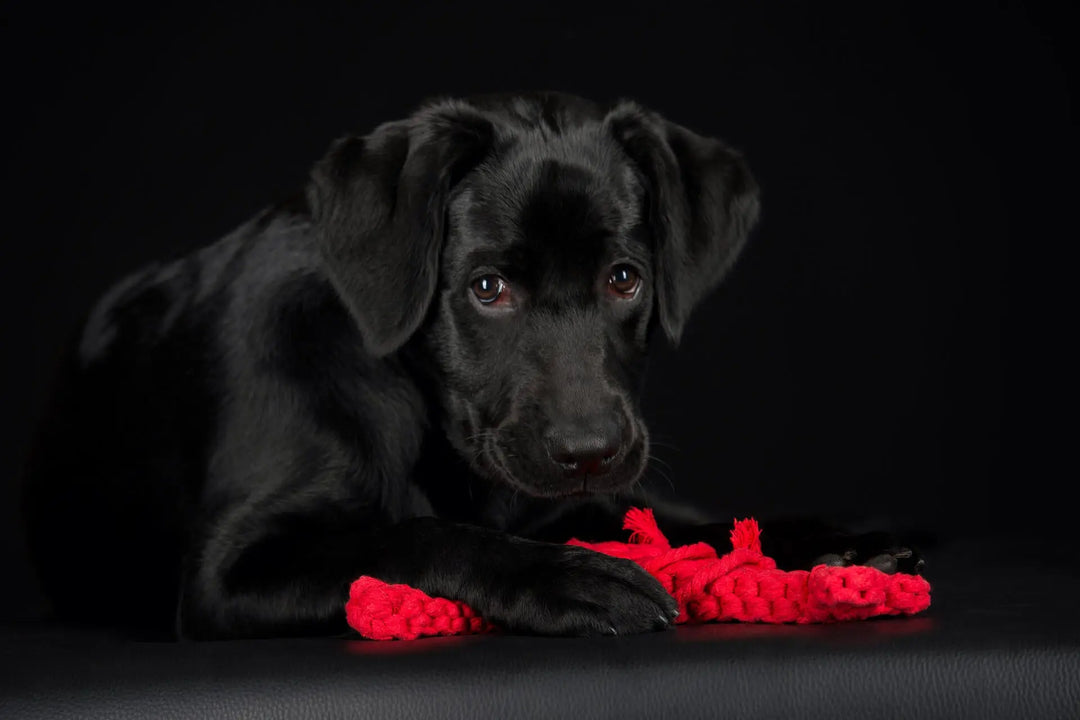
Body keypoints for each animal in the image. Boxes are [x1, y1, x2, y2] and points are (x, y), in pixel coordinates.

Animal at [21, 92, 920, 639]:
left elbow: (677, 525)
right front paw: (571, 578)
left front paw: (829, 547)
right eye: (487, 288)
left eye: (624, 279)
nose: (589, 452)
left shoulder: (573, 498)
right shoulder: (227, 570)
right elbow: (410, 534)